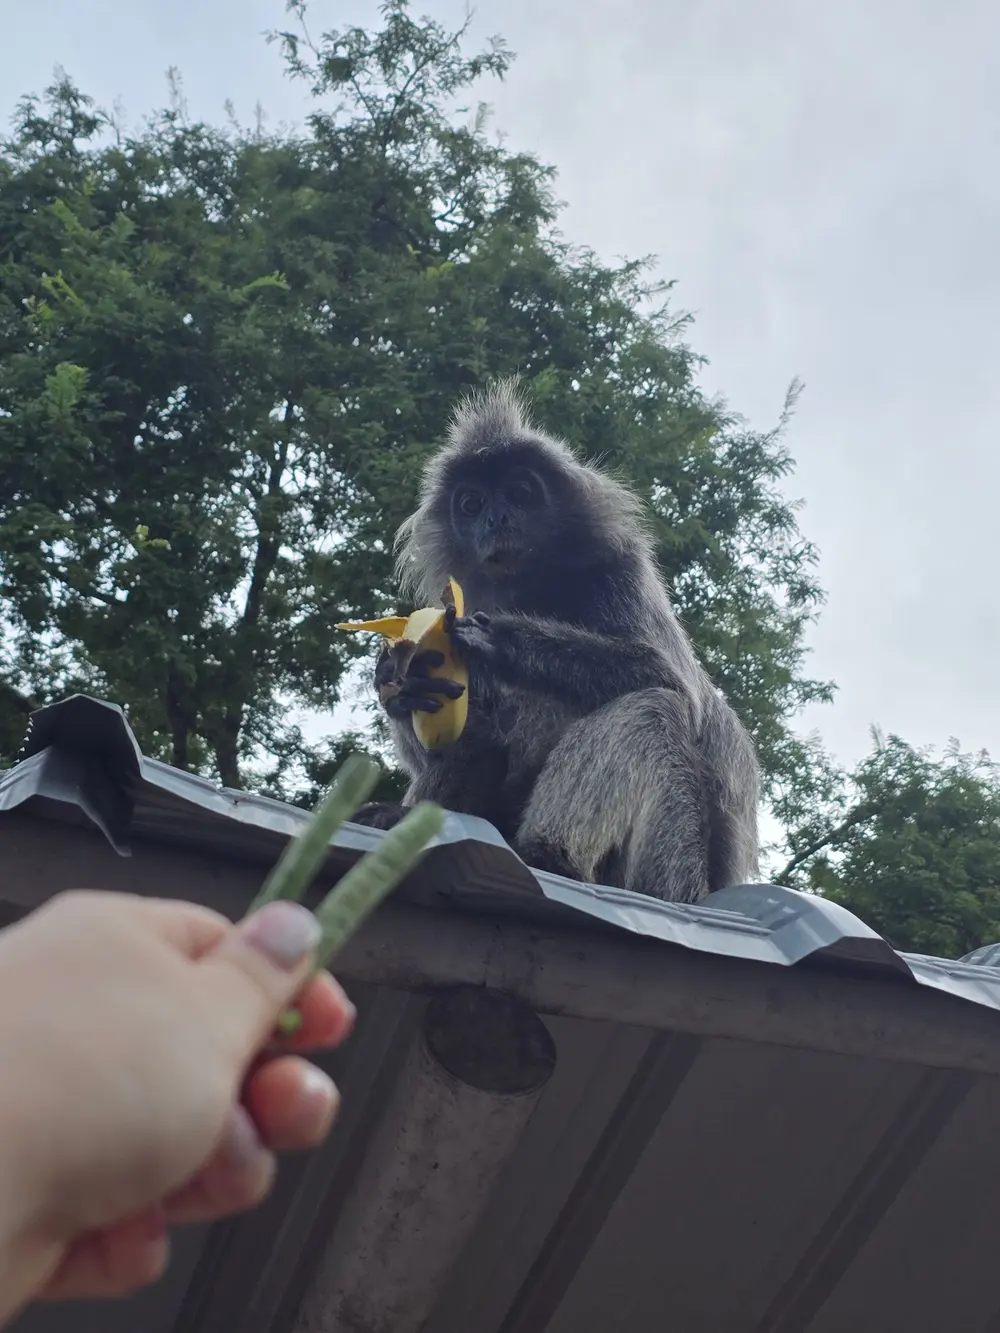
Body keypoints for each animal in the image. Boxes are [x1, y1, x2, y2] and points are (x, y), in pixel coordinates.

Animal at [350, 381, 760, 903]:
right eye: (471, 504)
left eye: (520, 493)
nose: (496, 519)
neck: (535, 585)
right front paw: (399, 682)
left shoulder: (618, 572)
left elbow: (669, 680)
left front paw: (500, 636)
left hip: (671, 870)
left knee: (653, 708)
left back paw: (548, 856)